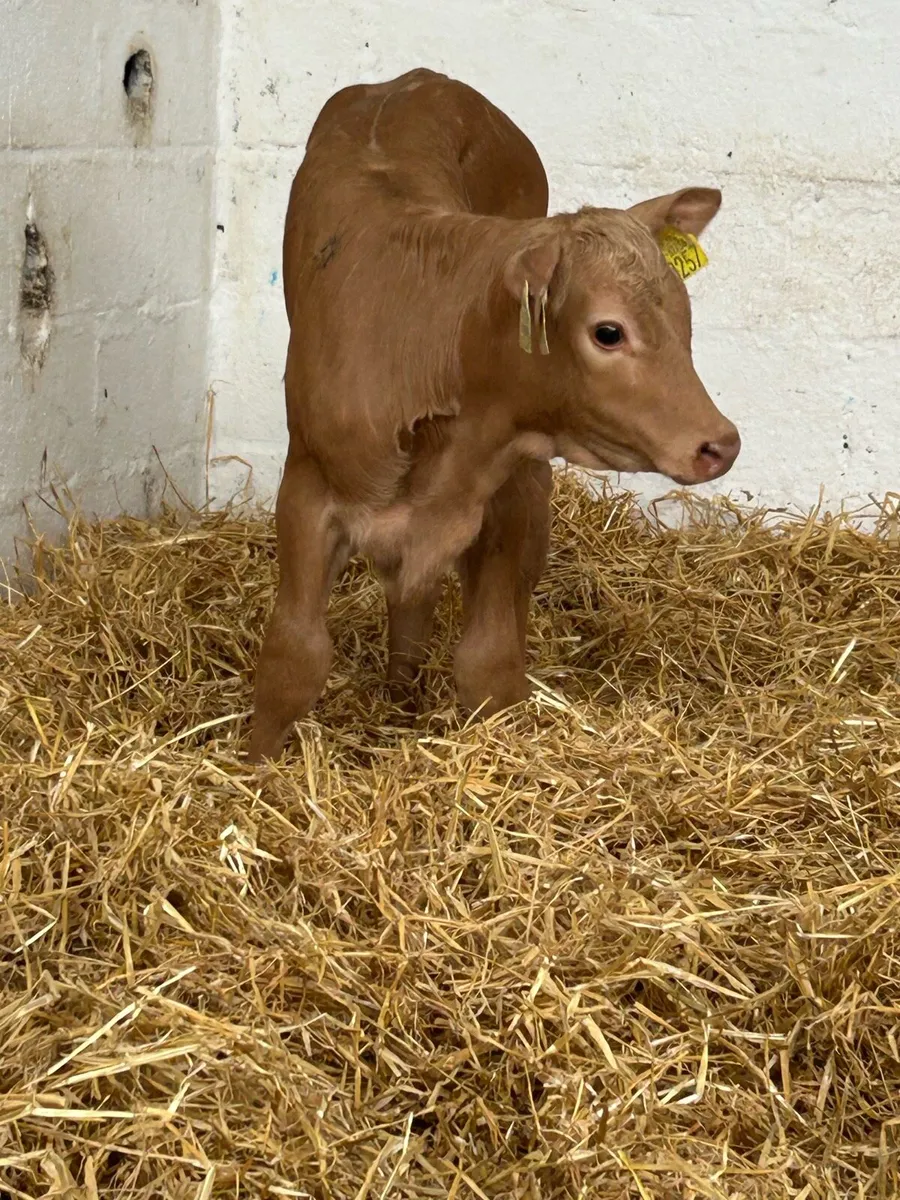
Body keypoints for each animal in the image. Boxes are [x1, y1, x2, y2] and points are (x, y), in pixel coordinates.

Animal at [248, 68, 740, 762]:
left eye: (685, 317)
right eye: (608, 332)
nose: (720, 444)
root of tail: (419, 78)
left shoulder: (512, 494)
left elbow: (490, 659)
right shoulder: (306, 492)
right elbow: (294, 657)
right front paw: (253, 763)